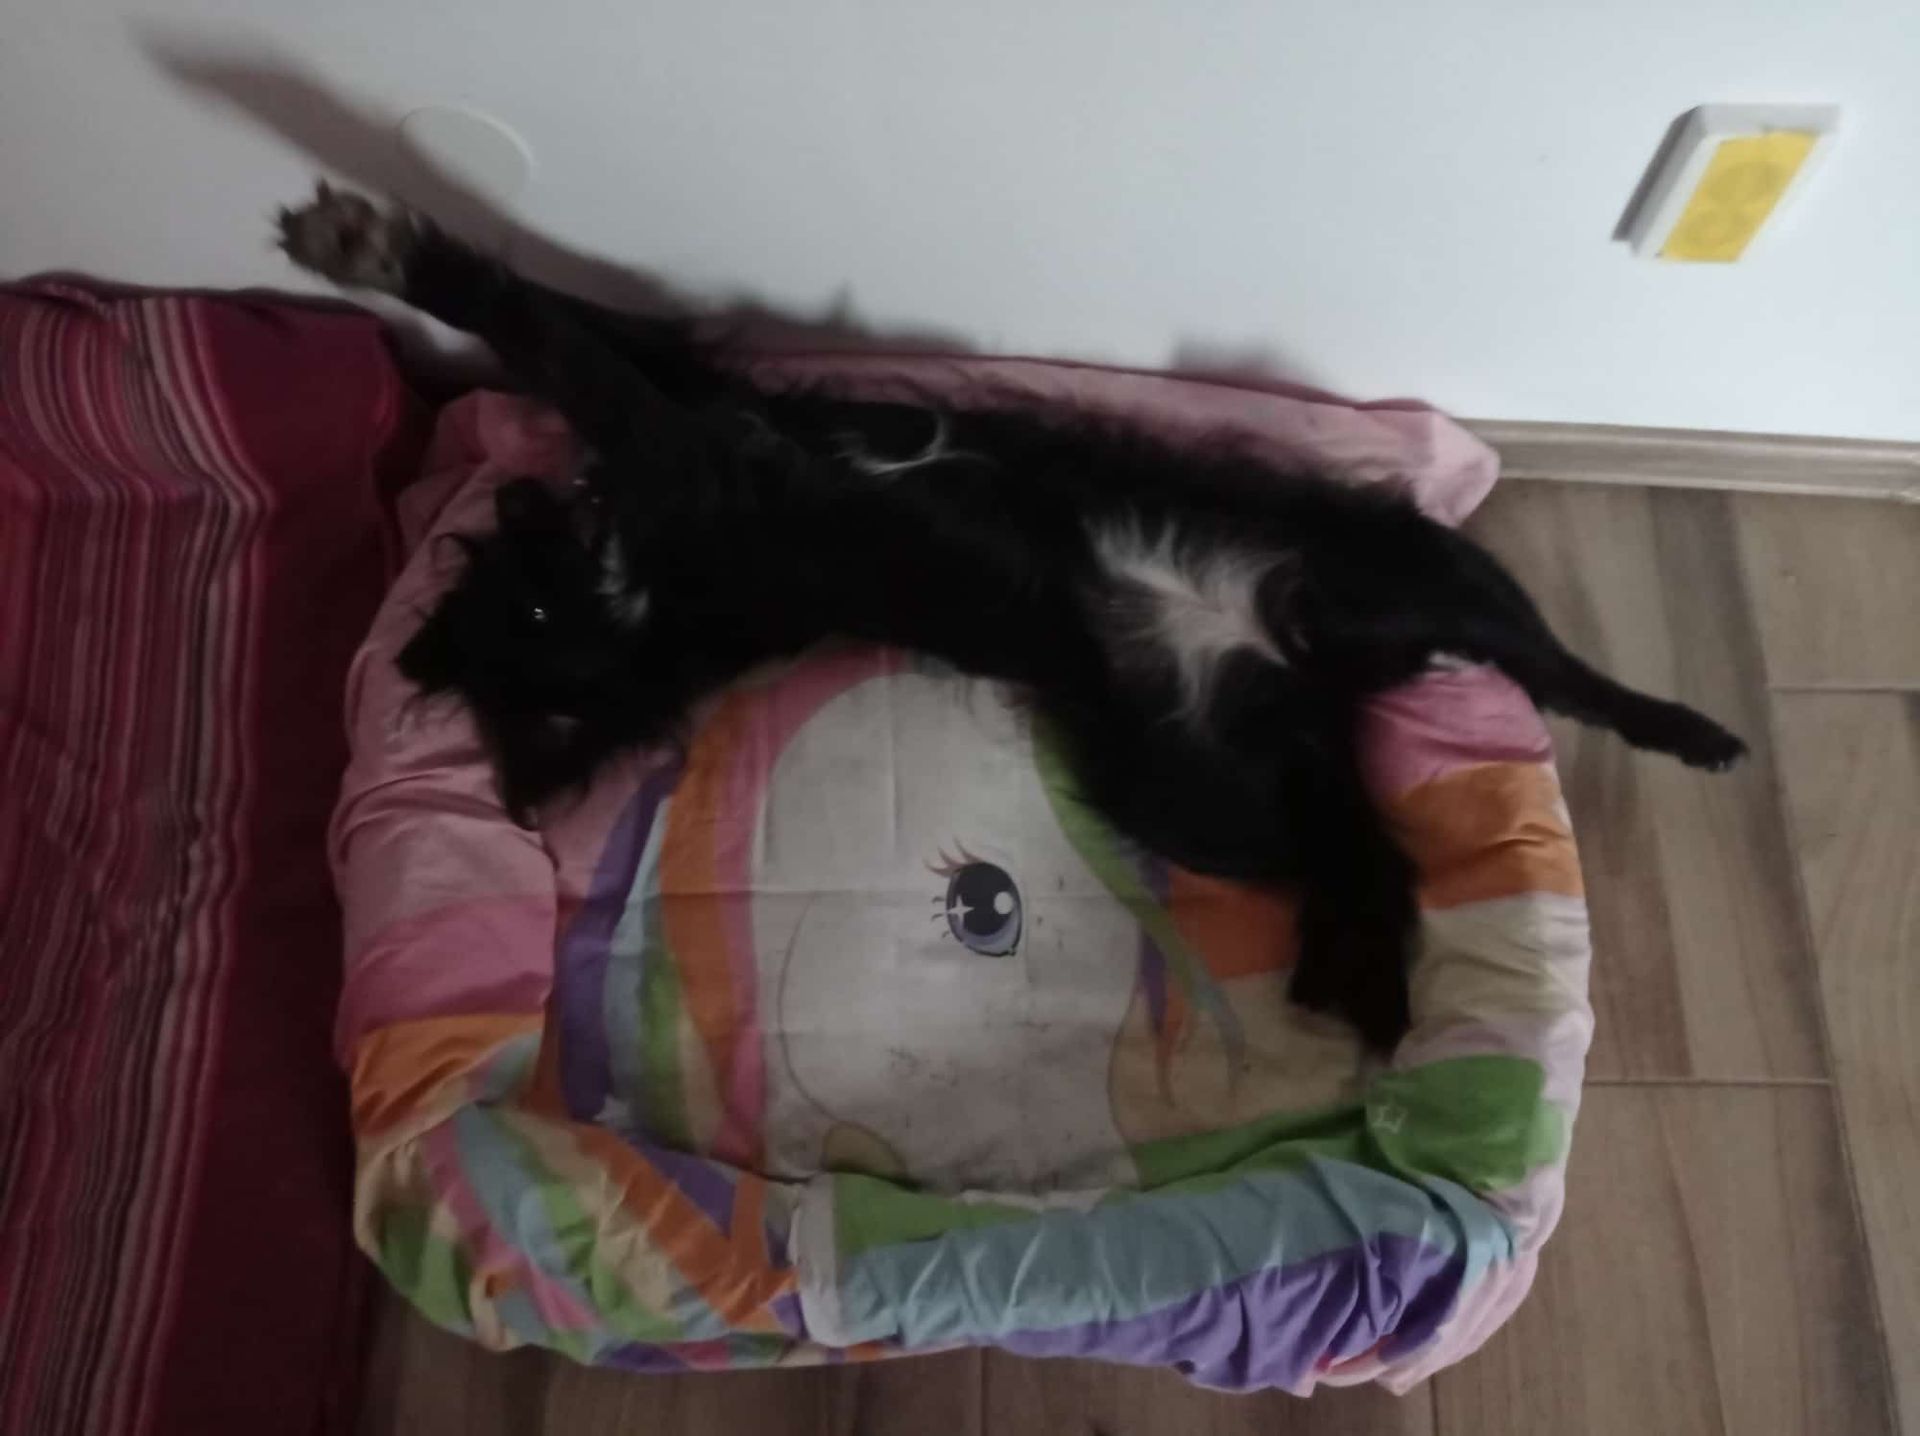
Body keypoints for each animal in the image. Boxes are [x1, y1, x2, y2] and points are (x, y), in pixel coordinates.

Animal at [278, 183, 1745, 1049]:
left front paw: (384, 244)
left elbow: (564, 325)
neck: (658, 587)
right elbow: (565, 345)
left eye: (531, 601)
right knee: (1370, 859)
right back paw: (1361, 986)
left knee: (1553, 669)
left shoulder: (694, 407)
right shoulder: (690, 445)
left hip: (1413, 571)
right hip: (1210, 789)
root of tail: (1291, 659)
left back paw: (1693, 730)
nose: (551, 515)